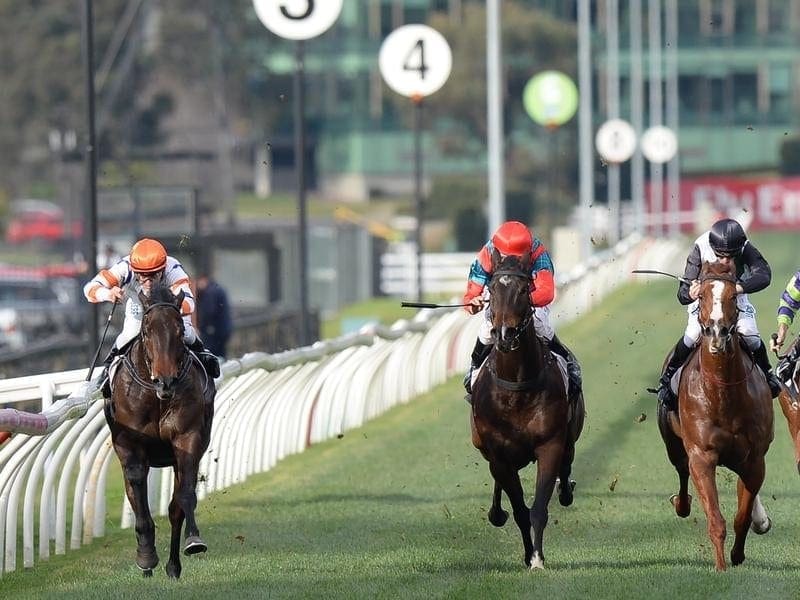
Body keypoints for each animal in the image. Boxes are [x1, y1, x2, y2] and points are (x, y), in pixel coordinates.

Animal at [105, 284, 216, 580]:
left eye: (179, 330)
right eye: (146, 331)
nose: (165, 381)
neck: (157, 398)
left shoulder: (188, 439)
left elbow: (184, 498)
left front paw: (194, 540)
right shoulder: (129, 445)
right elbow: (138, 498)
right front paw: (145, 556)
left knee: (176, 507)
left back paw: (173, 566)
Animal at [468, 251, 588, 568]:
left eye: (524, 290)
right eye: (491, 289)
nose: (505, 333)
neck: (516, 388)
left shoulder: (550, 445)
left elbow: (538, 508)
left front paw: (537, 558)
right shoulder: (498, 455)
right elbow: (520, 509)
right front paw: (528, 553)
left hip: (568, 437)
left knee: (567, 462)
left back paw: (566, 489)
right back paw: (496, 513)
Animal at [656, 262, 776, 572]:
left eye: (734, 295)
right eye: (702, 295)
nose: (717, 332)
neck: (723, 395)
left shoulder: (754, 459)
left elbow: (741, 516)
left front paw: (737, 555)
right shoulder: (702, 455)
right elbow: (715, 519)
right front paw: (721, 568)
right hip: (674, 446)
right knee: (682, 473)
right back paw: (681, 503)